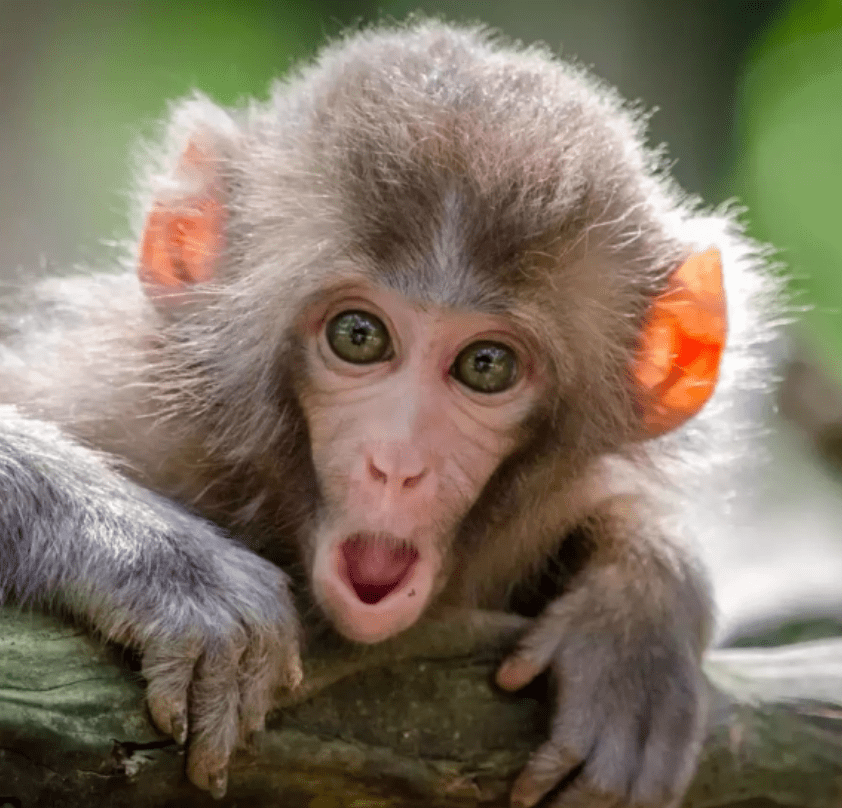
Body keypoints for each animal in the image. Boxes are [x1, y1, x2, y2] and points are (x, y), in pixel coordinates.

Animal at [0, 19, 776, 808]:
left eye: (486, 366)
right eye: (359, 336)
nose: (397, 464)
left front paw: (638, 615)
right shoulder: (117, 405)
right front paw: (160, 561)